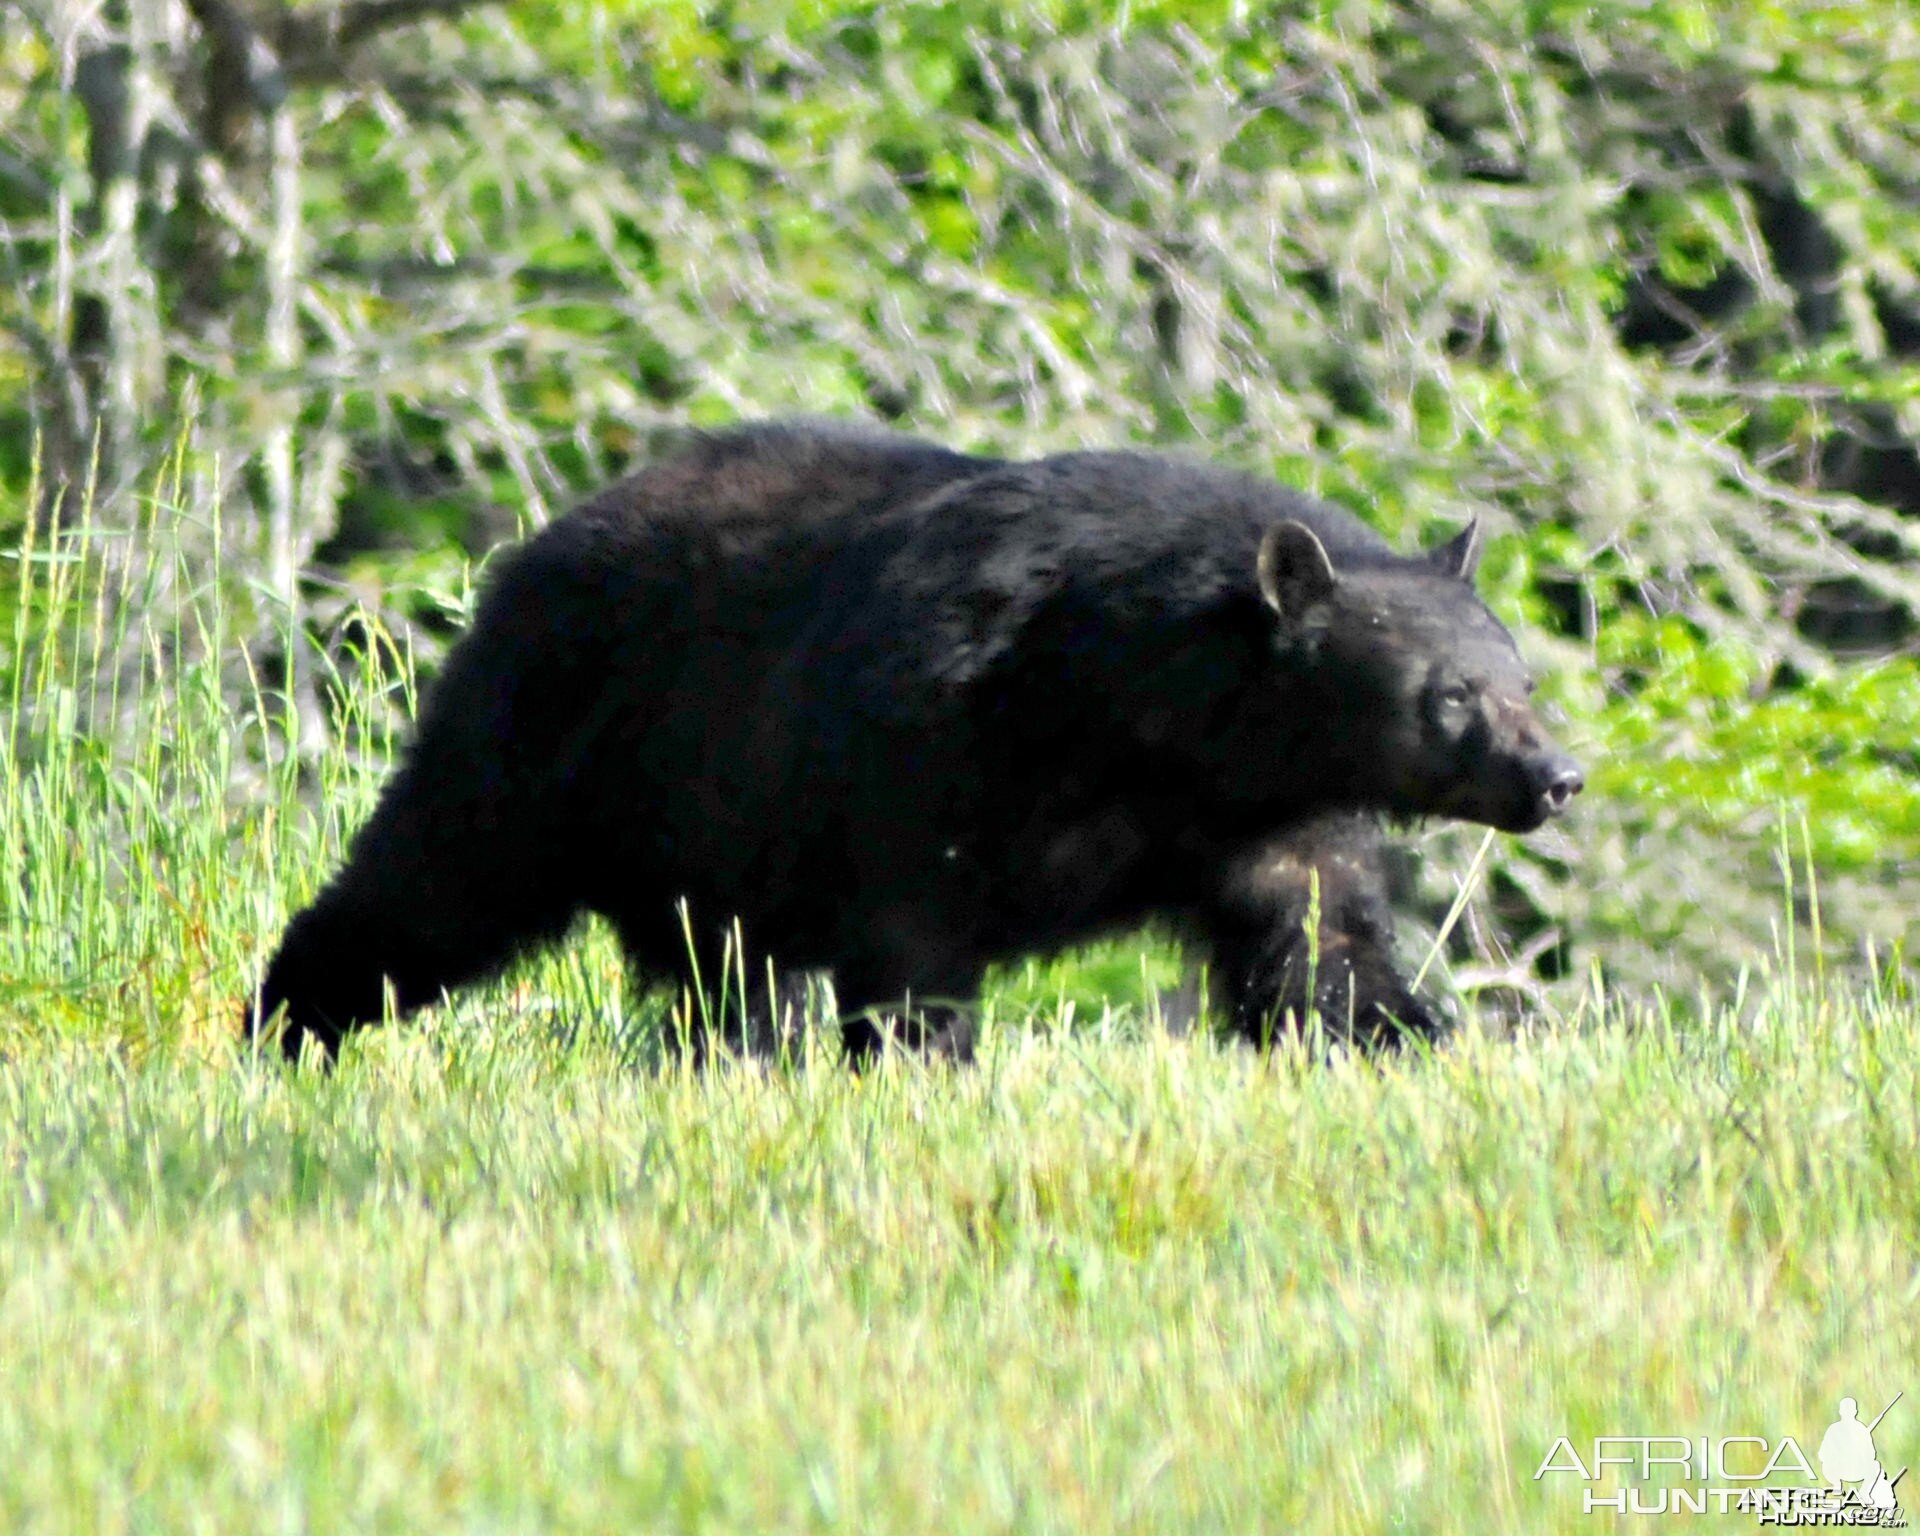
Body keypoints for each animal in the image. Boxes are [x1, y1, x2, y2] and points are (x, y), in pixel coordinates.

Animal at [251, 420, 1574, 1067]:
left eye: (1524, 680)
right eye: (1454, 696)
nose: (1556, 778)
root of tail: (547, 537)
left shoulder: (1269, 821)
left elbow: (1321, 952)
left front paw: (1414, 1045)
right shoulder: (929, 743)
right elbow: (912, 932)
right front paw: (923, 1062)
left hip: (705, 830)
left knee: (724, 978)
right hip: (558, 729)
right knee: (438, 877)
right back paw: (289, 1024)